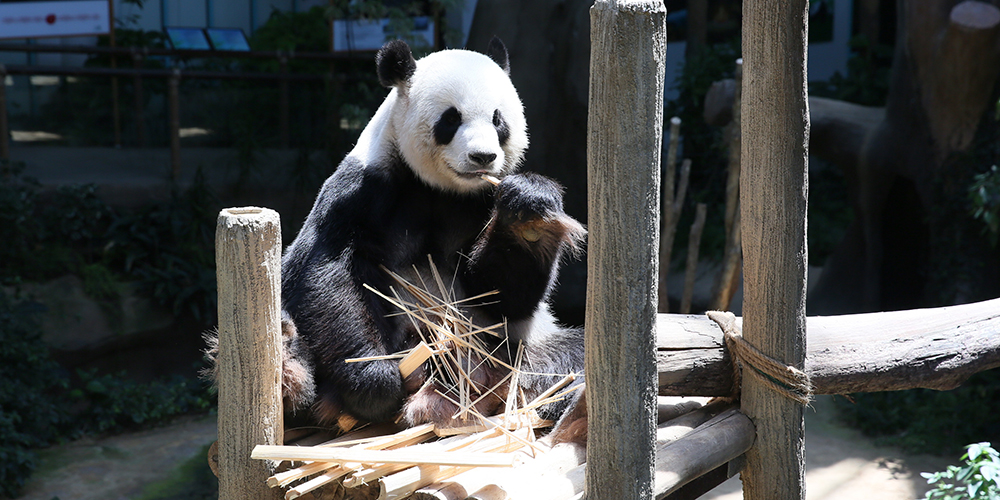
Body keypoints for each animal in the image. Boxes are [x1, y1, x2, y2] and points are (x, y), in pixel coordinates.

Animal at [276, 38, 584, 430]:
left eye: (498, 119)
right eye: (451, 118)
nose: (483, 156)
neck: (443, 189)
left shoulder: (480, 203)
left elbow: (498, 293)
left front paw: (528, 214)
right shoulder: (364, 190)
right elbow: (330, 274)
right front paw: (374, 380)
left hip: (518, 350)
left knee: (568, 361)